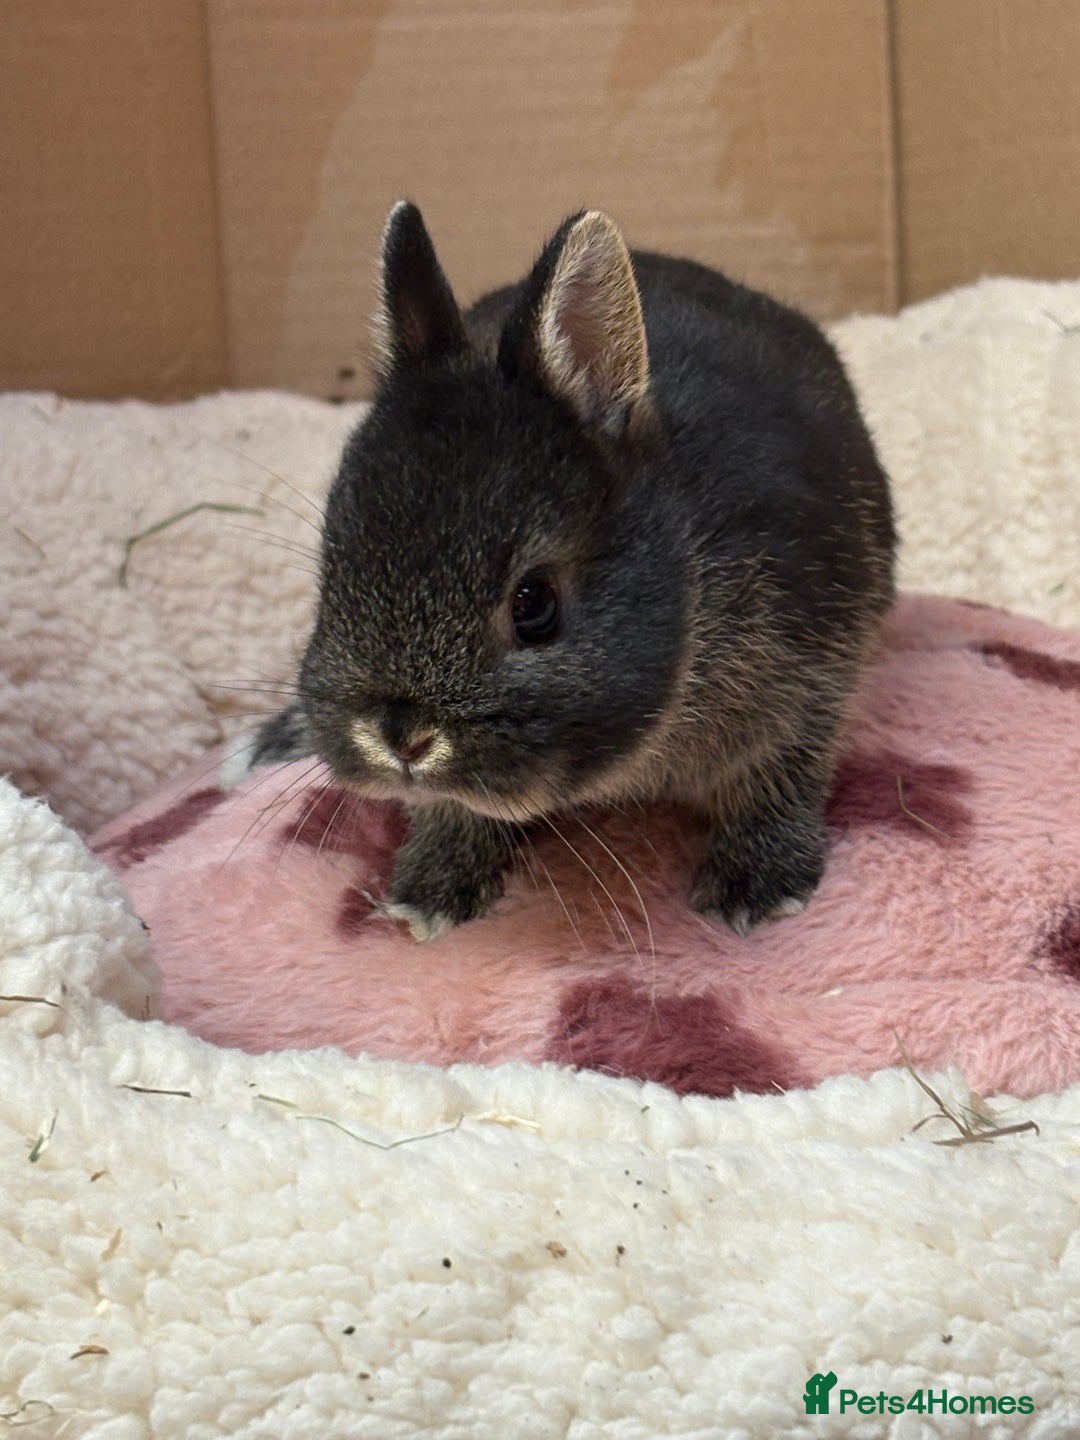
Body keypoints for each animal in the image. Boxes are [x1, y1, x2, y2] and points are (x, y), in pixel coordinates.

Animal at [244, 200, 896, 940]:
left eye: (534, 604)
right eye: (333, 573)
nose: (401, 739)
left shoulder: (807, 679)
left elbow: (778, 777)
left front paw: (755, 889)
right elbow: (451, 810)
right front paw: (430, 891)